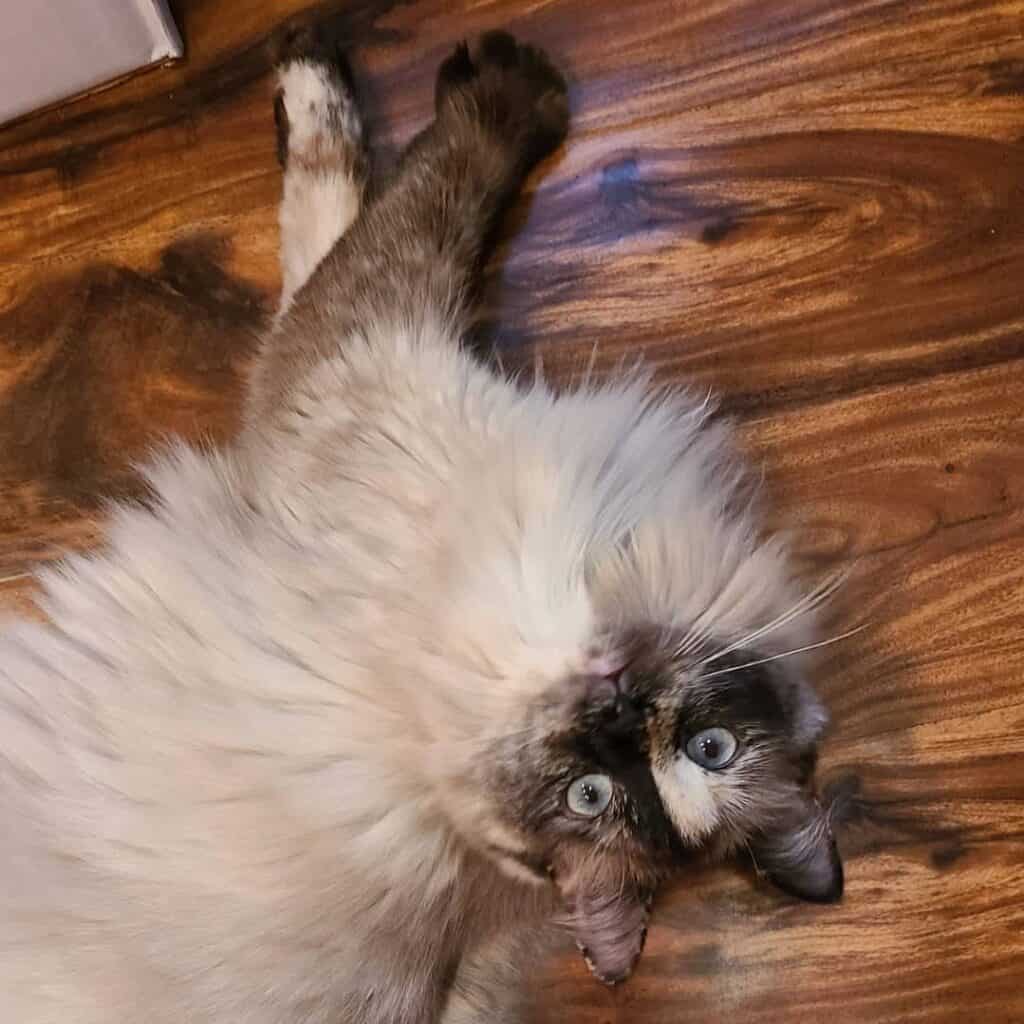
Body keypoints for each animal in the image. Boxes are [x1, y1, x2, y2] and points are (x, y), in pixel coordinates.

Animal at [0, 24, 839, 1024]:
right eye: (596, 791)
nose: (614, 710)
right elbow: (358, 207)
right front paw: (332, 87)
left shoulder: (353, 343)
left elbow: (403, 189)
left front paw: (476, 83)